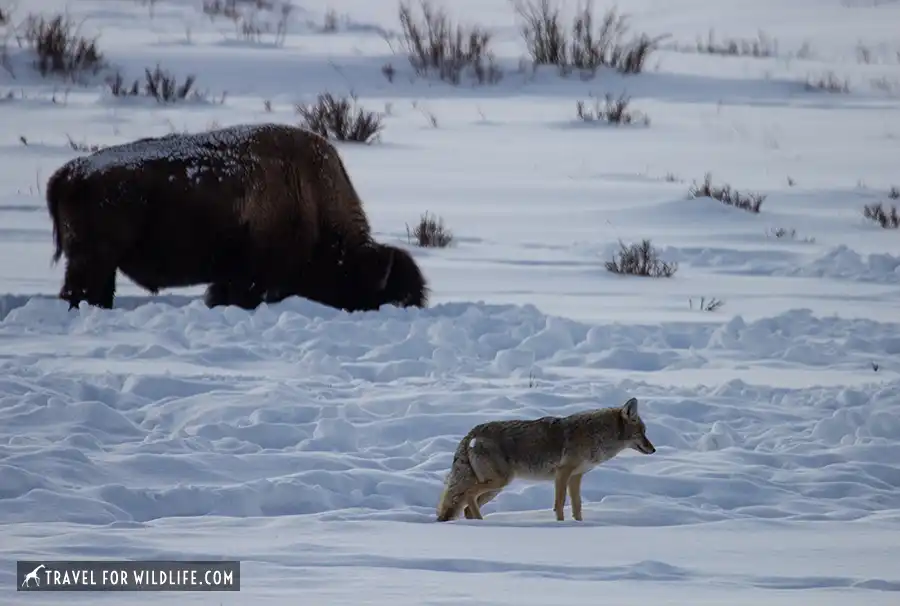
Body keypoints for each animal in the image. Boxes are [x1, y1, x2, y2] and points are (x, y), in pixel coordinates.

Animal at [44, 122, 430, 314]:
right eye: (387, 293)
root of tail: (68, 173)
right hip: (93, 260)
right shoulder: (253, 277)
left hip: (99, 264)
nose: (407, 308)